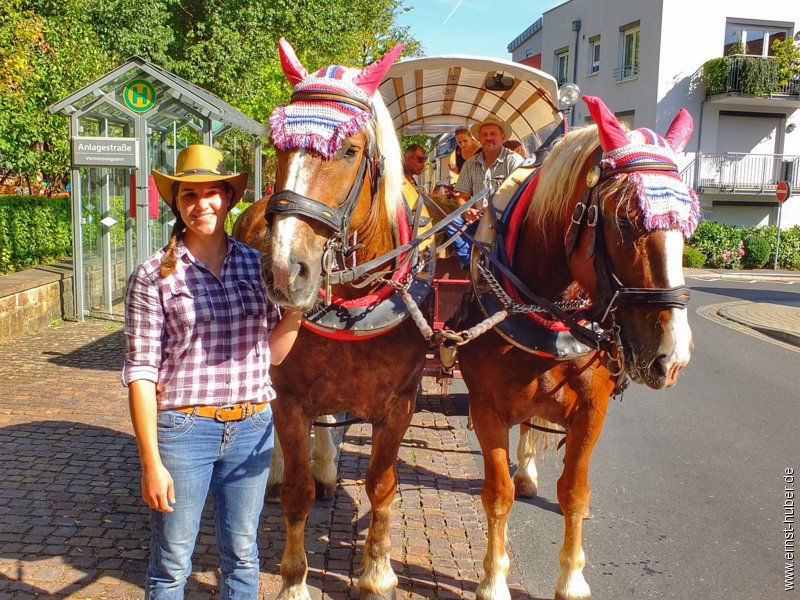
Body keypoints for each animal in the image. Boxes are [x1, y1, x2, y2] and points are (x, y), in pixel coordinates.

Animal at [256, 39, 432, 596]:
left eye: (350, 150)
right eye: (277, 145)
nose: (285, 270)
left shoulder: (400, 403)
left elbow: (382, 484)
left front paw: (376, 569)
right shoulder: (291, 395)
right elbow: (297, 493)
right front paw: (293, 580)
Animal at [456, 96, 700, 596]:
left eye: (689, 225)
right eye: (626, 219)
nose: (672, 357)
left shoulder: (592, 410)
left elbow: (574, 491)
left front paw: (571, 578)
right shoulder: (486, 408)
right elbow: (497, 493)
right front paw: (493, 578)